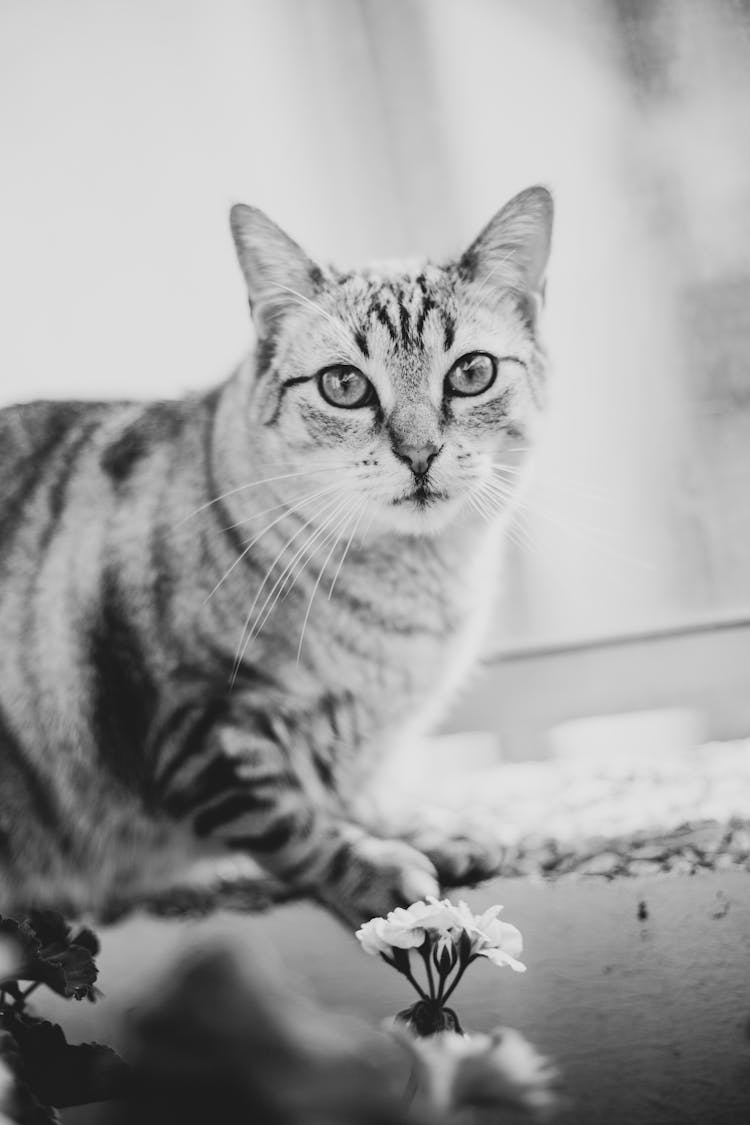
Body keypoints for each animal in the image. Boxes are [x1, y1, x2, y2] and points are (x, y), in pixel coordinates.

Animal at [0, 184, 550, 922]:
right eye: (344, 385)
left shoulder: (353, 749)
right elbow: (295, 824)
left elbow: (362, 796)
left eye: (471, 372)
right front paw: (380, 868)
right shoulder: (204, 729)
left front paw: (431, 832)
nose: (420, 451)